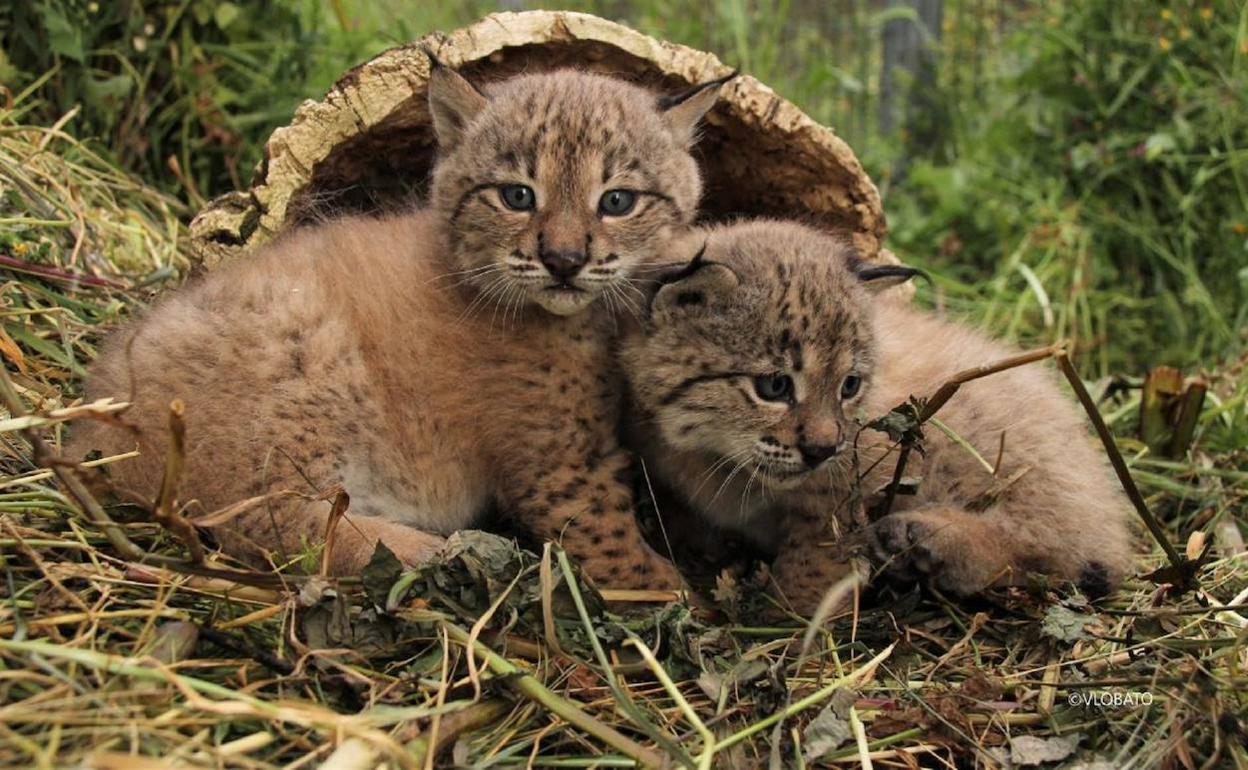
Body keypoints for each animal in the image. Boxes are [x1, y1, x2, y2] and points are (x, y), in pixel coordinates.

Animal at [68, 63, 728, 586]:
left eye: (617, 202)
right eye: (517, 196)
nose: (563, 261)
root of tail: (88, 413)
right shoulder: (559, 460)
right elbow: (612, 549)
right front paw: (678, 603)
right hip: (305, 361)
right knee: (268, 521)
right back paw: (430, 552)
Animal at [619, 219, 1138, 609]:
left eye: (849, 386)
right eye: (774, 386)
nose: (822, 449)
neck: (717, 458)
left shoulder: (850, 480)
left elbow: (818, 550)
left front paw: (796, 624)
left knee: (1074, 550)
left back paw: (927, 540)